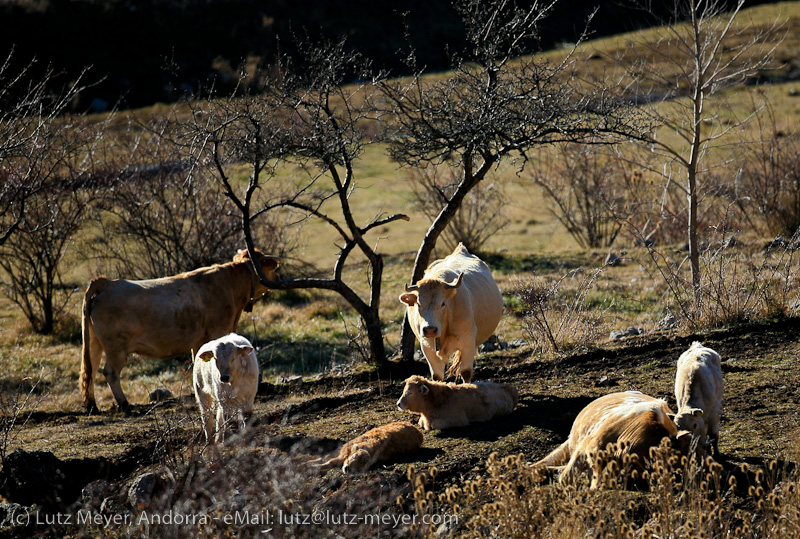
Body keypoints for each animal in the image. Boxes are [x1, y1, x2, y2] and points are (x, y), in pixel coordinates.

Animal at [78, 250, 278, 414]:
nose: (277, 273)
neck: (231, 284)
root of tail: (108, 283)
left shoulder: (198, 342)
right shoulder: (217, 331)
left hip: (95, 343)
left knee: (91, 369)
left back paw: (92, 406)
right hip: (116, 347)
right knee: (109, 372)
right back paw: (125, 405)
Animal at [404, 245, 504, 384]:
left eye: (443, 303)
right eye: (418, 303)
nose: (430, 329)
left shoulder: (468, 341)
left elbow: (466, 372)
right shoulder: (426, 345)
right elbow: (437, 375)